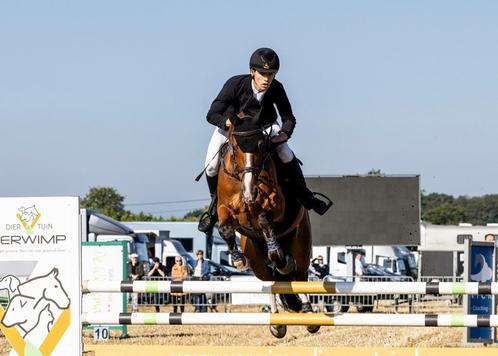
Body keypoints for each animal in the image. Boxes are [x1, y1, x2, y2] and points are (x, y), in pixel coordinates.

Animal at [216, 118, 318, 338]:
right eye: (235, 145)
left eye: (262, 145)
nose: (250, 191)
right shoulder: (226, 209)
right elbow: (224, 228)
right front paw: (237, 259)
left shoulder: (277, 206)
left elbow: (264, 218)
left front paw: (276, 253)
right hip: (256, 261)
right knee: (272, 281)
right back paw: (277, 323)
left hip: (301, 245)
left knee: (299, 274)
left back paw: (308, 314)